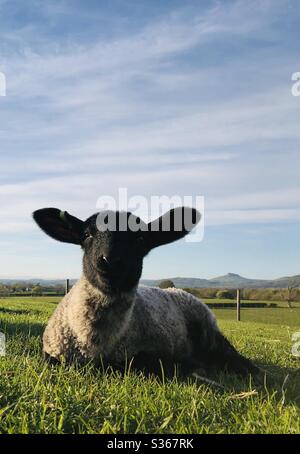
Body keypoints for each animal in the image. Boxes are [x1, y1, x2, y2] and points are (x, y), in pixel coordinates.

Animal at [32, 207, 258, 378]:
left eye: (140, 238)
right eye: (87, 235)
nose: (110, 261)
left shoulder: (150, 351)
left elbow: (140, 363)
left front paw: (189, 365)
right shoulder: (52, 355)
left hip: (206, 325)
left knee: (226, 351)